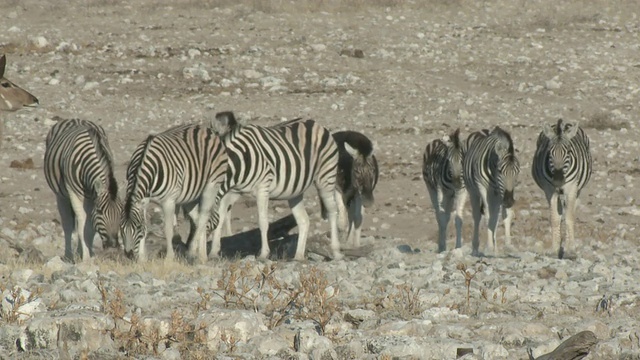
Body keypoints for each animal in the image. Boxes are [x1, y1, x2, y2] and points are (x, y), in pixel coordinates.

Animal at [44, 118, 122, 262]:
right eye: (100, 211)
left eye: (120, 213)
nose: (113, 246)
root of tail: (74, 118)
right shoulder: (74, 193)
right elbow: (81, 224)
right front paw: (85, 258)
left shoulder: (93, 197)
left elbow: (90, 227)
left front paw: (88, 254)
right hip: (61, 195)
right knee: (68, 223)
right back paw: (69, 256)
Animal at [120, 123, 228, 262]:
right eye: (121, 227)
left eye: (137, 227)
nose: (128, 254)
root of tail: (206, 129)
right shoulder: (144, 199)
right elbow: (146, 227)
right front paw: (142, 259)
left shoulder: (169, 201)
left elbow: (168, 229)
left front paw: (169, 259)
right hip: (190, 196)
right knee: (198, 219)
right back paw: (199, 254)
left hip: (212, 184)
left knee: (204, 216)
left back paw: (195, 253)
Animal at [209, 111, 340, 260]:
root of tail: (314, 122)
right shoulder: (231, 192)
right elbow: (220, 218)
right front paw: (213, 252)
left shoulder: (262, 187)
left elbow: (263, 222)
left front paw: (264, 254)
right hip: (295, 191)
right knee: (304, 220)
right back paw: (298, 256)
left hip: (326, 177)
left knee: (332, 210)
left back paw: (336, 252)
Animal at [462, 126, 524, 256]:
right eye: (500, 170)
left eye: (517, 171)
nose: (509, 201)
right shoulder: (483, 188)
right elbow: (488, 216)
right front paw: (489, 246)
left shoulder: (502, 192)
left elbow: (505, 216)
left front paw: (508, 245)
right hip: (473, 191)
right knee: (477, 216)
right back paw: (476, 248)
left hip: (495, 195)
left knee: (494, 216)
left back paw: (495, 248)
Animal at [532, 118, 592, 258]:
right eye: (549, 152)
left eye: (569, 151)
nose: (558, 179)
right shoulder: (550, 190)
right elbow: (555, 218)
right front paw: (555, 250)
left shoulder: (571, 188)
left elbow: (569, 218)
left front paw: (570, 251)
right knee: (560, 214)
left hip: (577, 190)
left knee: (571, 211)